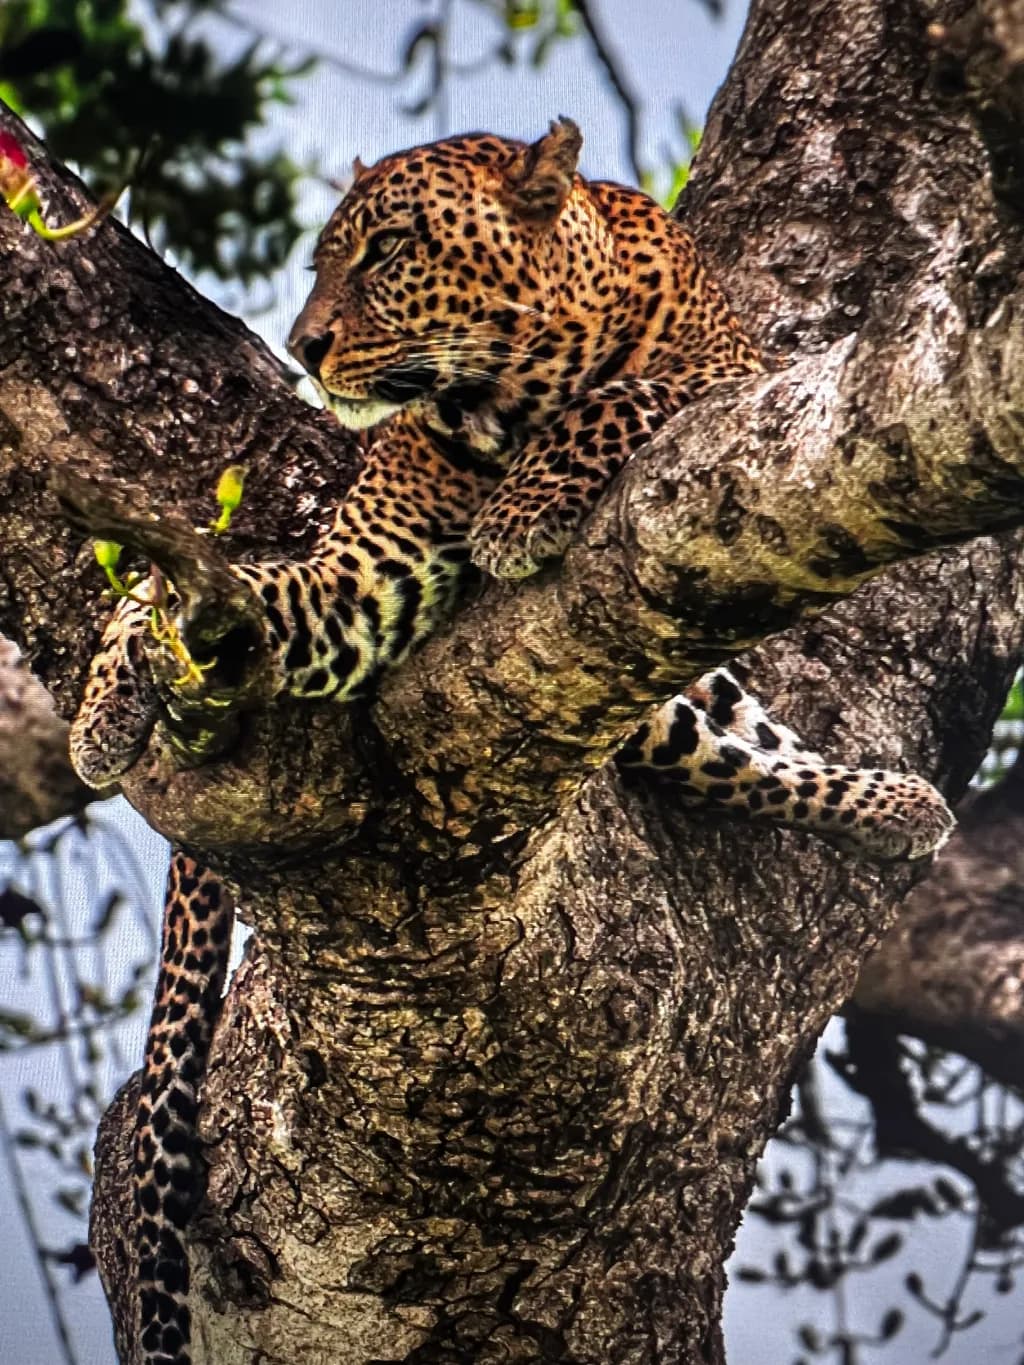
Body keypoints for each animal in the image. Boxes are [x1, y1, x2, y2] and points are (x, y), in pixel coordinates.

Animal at [69, 119, 954, 1365]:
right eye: (323, 262)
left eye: (388, 251)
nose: (305, 347)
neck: (506, 393)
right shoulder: (358, 580)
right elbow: (192, 596)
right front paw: (111, 692)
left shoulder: (738, 390)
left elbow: (631, 394)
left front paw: (524, 509)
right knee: (725, 744)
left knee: (739, 732)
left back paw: (896, 807)